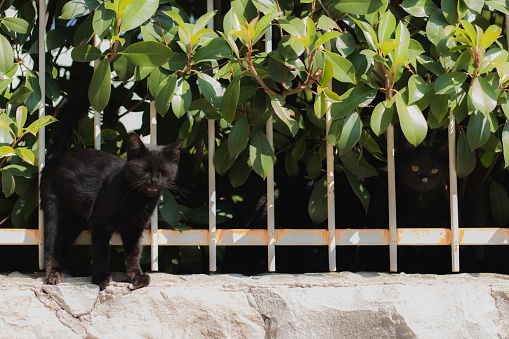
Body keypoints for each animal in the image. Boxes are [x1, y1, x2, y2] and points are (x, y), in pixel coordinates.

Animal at [40, 96, 183, 292]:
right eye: (144, 169)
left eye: (163, 170)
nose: (154, 180)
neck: (137, 199)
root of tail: (56, 157)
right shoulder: (100, 223)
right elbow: (101, 253)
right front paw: (100, 277)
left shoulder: (134, 228)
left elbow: (133, 254)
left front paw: (136, 276)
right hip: (54, 211)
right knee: (52, 244)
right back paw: (53, 273)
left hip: (76, 219)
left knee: (63, 247)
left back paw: (78, 269)